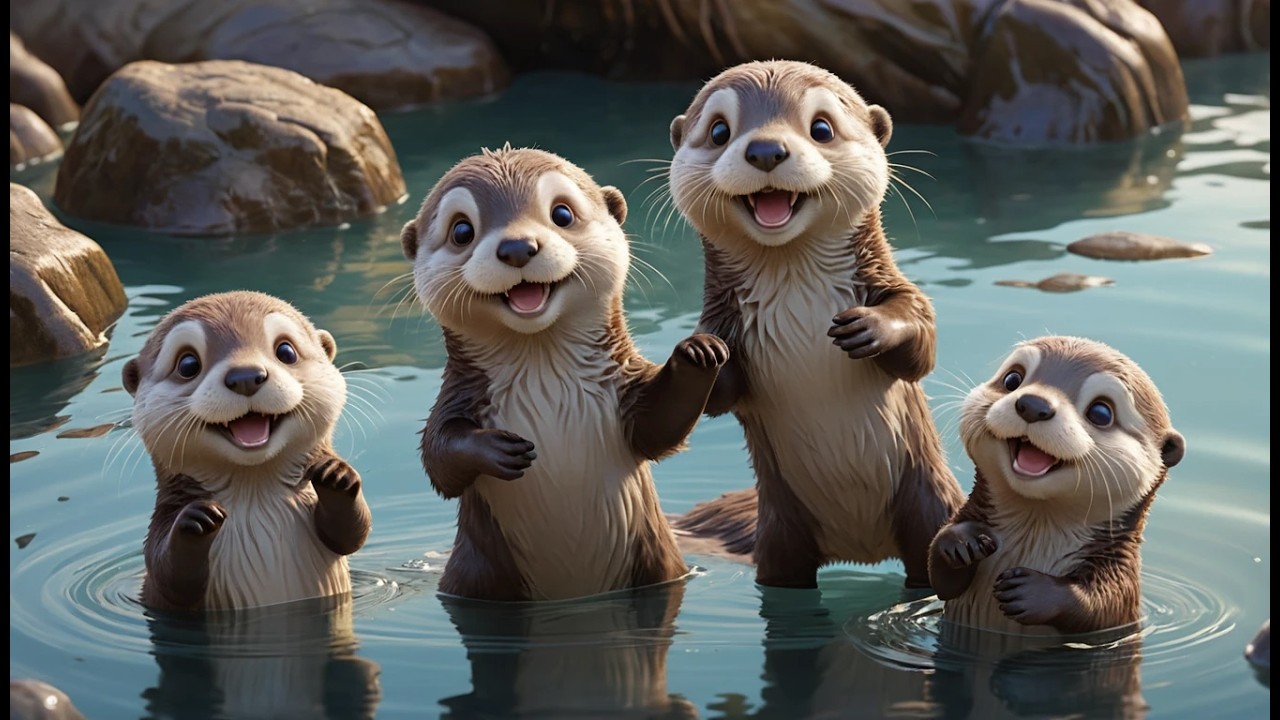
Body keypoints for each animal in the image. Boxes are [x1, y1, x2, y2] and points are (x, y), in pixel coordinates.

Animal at [124, 291, 371, 611]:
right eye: (188, 364)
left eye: (286, 351)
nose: (245, 376)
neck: (255, 500)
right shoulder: (161, 527)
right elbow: (169, 575)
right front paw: (195, 519)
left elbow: (352, 534)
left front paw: (337, 474)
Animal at [400, 145, 728, 602]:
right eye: (461, 230)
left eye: (562, 213)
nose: (518, 246)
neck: (547, 386)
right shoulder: (454, 399)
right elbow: (439, 459)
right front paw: (499, 449)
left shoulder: (624, 390)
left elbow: (660, 430)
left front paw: (698, 350)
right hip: (477, 580)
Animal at [666, 60, 964, 589]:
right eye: (719, 131)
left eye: (821, 127)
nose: (766, 149)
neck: (797, 302)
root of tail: (862, 548)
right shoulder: (721, 316)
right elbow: (721, 393)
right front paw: (698, 353)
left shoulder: (896, 287)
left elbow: (920, 341)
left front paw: (870, 328)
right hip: (781, 534)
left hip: (929, 503)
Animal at [929, 335, 1186, 634]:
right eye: (1012, 379)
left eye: (1101, 412)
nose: (1033, 404)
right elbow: (939, 577)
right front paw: (961, 541)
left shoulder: (1120, 579)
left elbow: (1098, 605)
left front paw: (1032, 592)